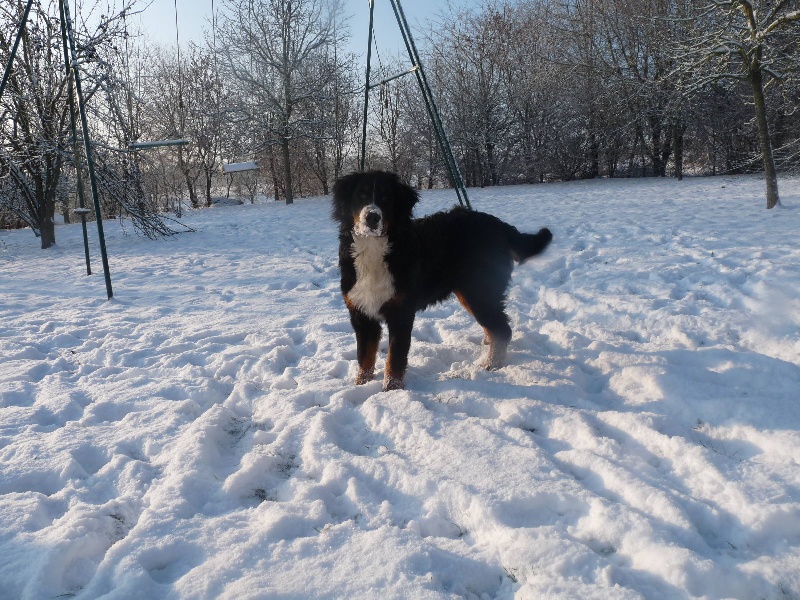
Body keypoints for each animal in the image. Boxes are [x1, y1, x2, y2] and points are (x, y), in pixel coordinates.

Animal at [330, 171, 552, 392]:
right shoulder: (361, 314)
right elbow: (365, 358)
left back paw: (490, 364)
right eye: (361, 196)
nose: (372, 217)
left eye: (386, 198)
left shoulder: (401, 314)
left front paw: (391, 392)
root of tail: (500, 226)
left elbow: (394, 360)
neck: (373, 249)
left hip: (479, 292)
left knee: (503, 329)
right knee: (495, 327)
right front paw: (361, 385)